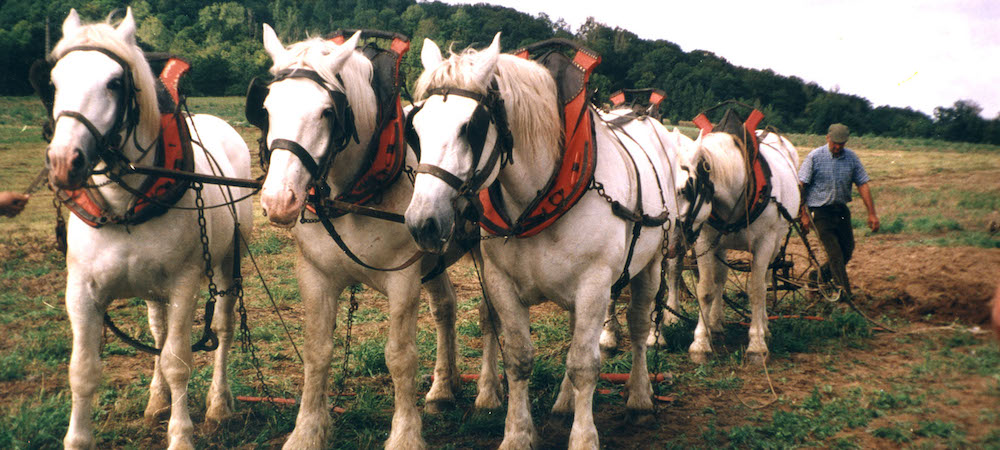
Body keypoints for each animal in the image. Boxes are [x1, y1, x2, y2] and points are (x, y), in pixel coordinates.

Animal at [45, 7, 252, 450]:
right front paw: (79, 437)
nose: (64, 162)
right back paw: (157, 402)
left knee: (223, 329)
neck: (125, 208)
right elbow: (83, 371)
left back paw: (218, 405)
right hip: (152, 289)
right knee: (157, 334)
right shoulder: (81, 292)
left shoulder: (184, 285)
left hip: (226, 263)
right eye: (55, 81)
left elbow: (178, 362)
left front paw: (181, 435)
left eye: (115, 82)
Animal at [258, 25, 460, 450]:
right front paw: (306, 432)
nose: (278, 200)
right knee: (445, 307)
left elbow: (400, 356)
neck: (352, 195)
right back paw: (443, 389)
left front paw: (405, 435)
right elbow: (317, 351)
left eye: (326, 112)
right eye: (266, 108)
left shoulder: (404, 280)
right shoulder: (315, 276)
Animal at [402, 33, 684, 448]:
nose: (422, 221)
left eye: (471, 126)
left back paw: (639, 399)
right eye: (416, 127)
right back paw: (565, 404)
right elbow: (519, 359)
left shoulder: (595, 284)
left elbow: (585, 364)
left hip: (649, 263)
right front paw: (518, 434)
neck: (542, 194)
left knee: (636, 327)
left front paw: (584, 438)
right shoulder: (501, 282)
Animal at [672, 128, 804, 364]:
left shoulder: (764, 243)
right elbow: (706, 289)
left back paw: (764, 327)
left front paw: (757, 345)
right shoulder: (705, 239)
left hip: (775, 243)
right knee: (720, 279)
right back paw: (715, 324)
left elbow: (757, 291)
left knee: (765, 281)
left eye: (686, 189)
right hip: (720, 245)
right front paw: (701, 343)